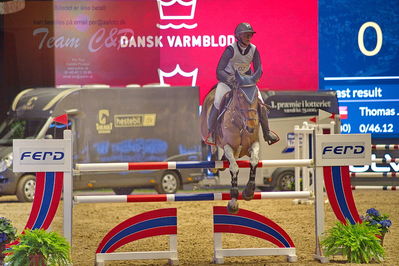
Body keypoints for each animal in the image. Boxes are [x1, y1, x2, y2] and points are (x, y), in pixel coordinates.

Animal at [202, 69, 264, 214]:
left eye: (255, 98)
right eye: (240, 96)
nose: (251, 127)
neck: (241, 123)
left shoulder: (253, 144)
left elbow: (254, 161)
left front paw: (249, 191)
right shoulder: (228, 146)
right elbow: (234, 167)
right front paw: (233, 202)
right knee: (212, 145)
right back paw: (214, 163)